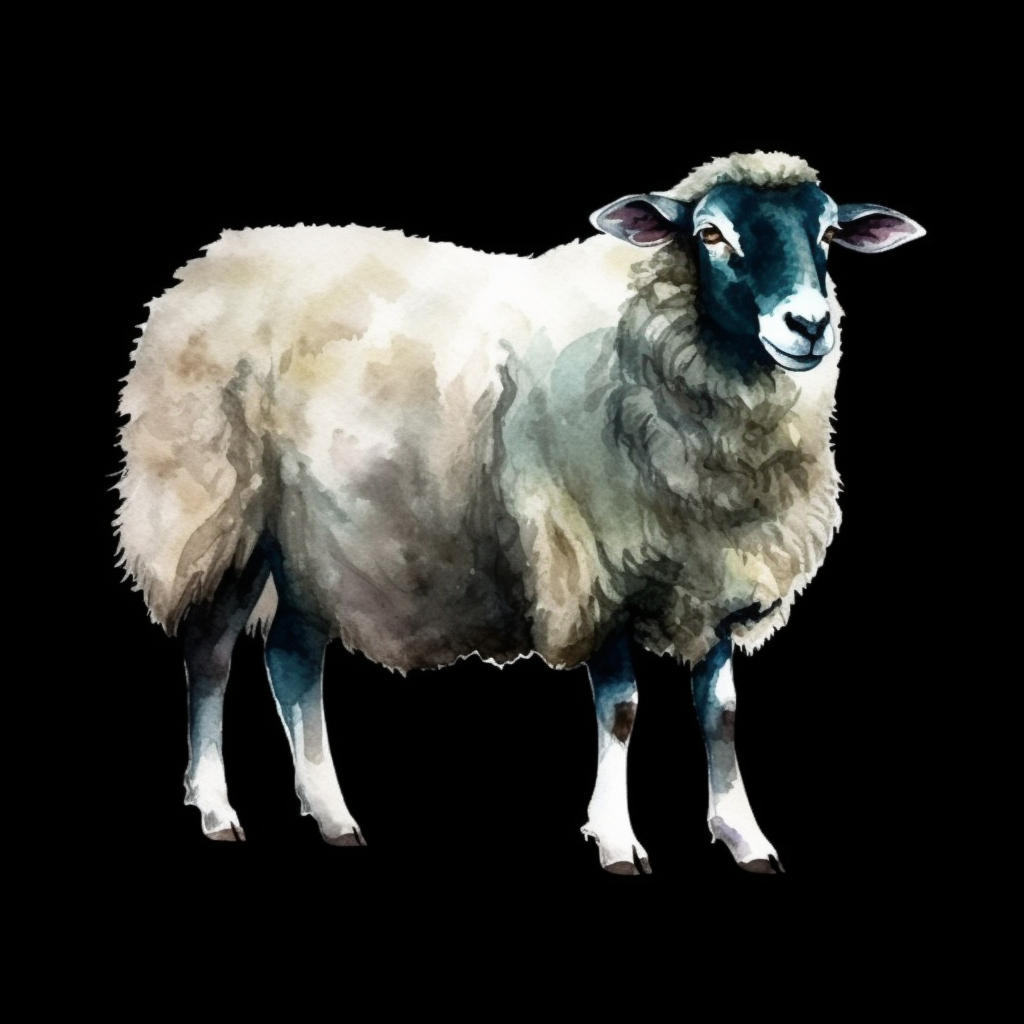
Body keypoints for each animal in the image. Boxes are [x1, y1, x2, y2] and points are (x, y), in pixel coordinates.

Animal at [116, 151, 925, 875]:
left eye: (827, 233)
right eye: (711, 234)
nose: (809, 324)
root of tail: (217, 255)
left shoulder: (715, 570)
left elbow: (720, 710)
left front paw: (744, 836)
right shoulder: (594, 564)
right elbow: (623, 708)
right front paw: (617, 841)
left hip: (314, 539)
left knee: (291, 659)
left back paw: (333, 816)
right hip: (216, 510)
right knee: (211, 653)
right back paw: (216, 810)